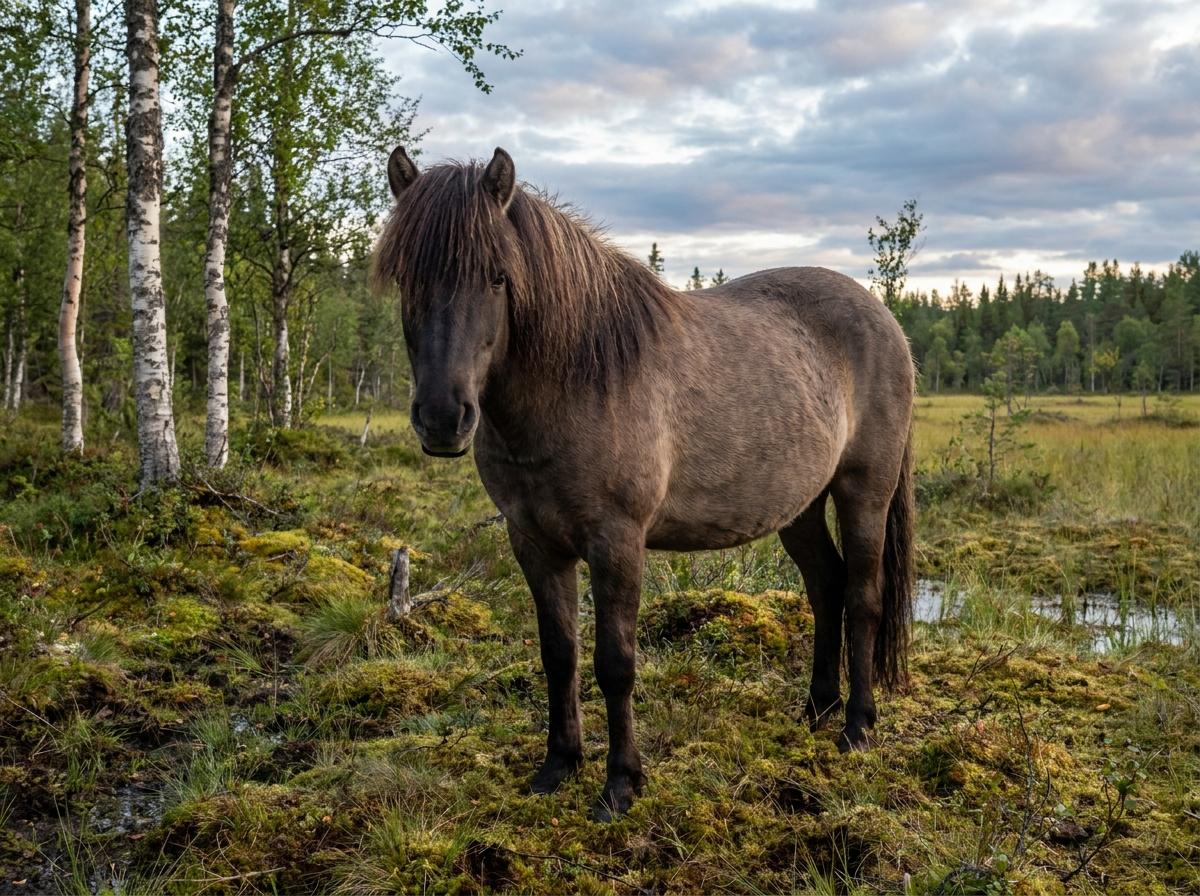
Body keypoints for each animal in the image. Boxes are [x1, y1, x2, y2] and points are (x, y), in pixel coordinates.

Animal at [372, 146, 915, 821]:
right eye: (406, 278)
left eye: (498, 277)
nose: (444, 419)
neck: (576, 381)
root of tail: (886, 319)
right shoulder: (534, 543)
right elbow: (559, 654)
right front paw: (558, 767)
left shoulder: (617, 541)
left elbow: (615, 663)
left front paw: (620, 785)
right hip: (801, 507)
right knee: (827, 588)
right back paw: (817, 709)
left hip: (864, 492)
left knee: (863, 597)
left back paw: (857, 727)